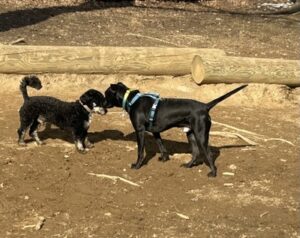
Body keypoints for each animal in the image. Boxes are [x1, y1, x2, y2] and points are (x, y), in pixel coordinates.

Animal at [104, 82, 247, 177]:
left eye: (106, 94)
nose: (103, 104)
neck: (132, 100)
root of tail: (205, 106)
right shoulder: (156, 132)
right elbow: (162, 146)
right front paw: (164, 159)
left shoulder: (140, 131)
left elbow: (140, 152)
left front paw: (137, 165)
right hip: (191, 134)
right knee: (196, 153)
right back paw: (188, 165)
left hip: (200, 135)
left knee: (208, 154)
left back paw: (213, 172)